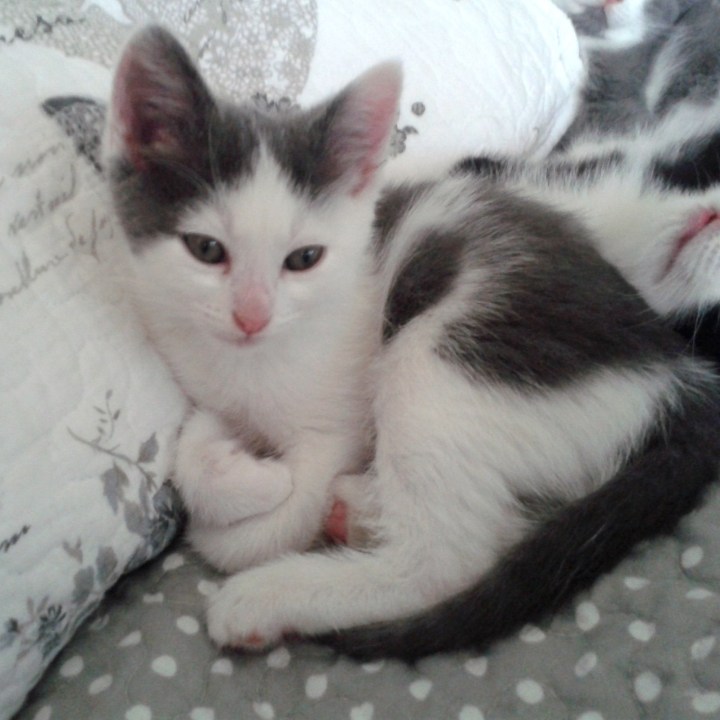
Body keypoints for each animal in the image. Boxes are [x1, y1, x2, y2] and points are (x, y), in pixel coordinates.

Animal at [104, 25, 720, 661]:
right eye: (206, 250)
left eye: (303, 258)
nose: (252, 315)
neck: (248, 363)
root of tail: (675, 371)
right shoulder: (210, 388)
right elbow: (192, 450)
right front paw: (240, 474)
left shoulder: (340, 425)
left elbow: (273, 519)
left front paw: (270, 497)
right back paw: (358, 509)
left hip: (444, 357)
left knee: (449, 559)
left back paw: (276, 590)